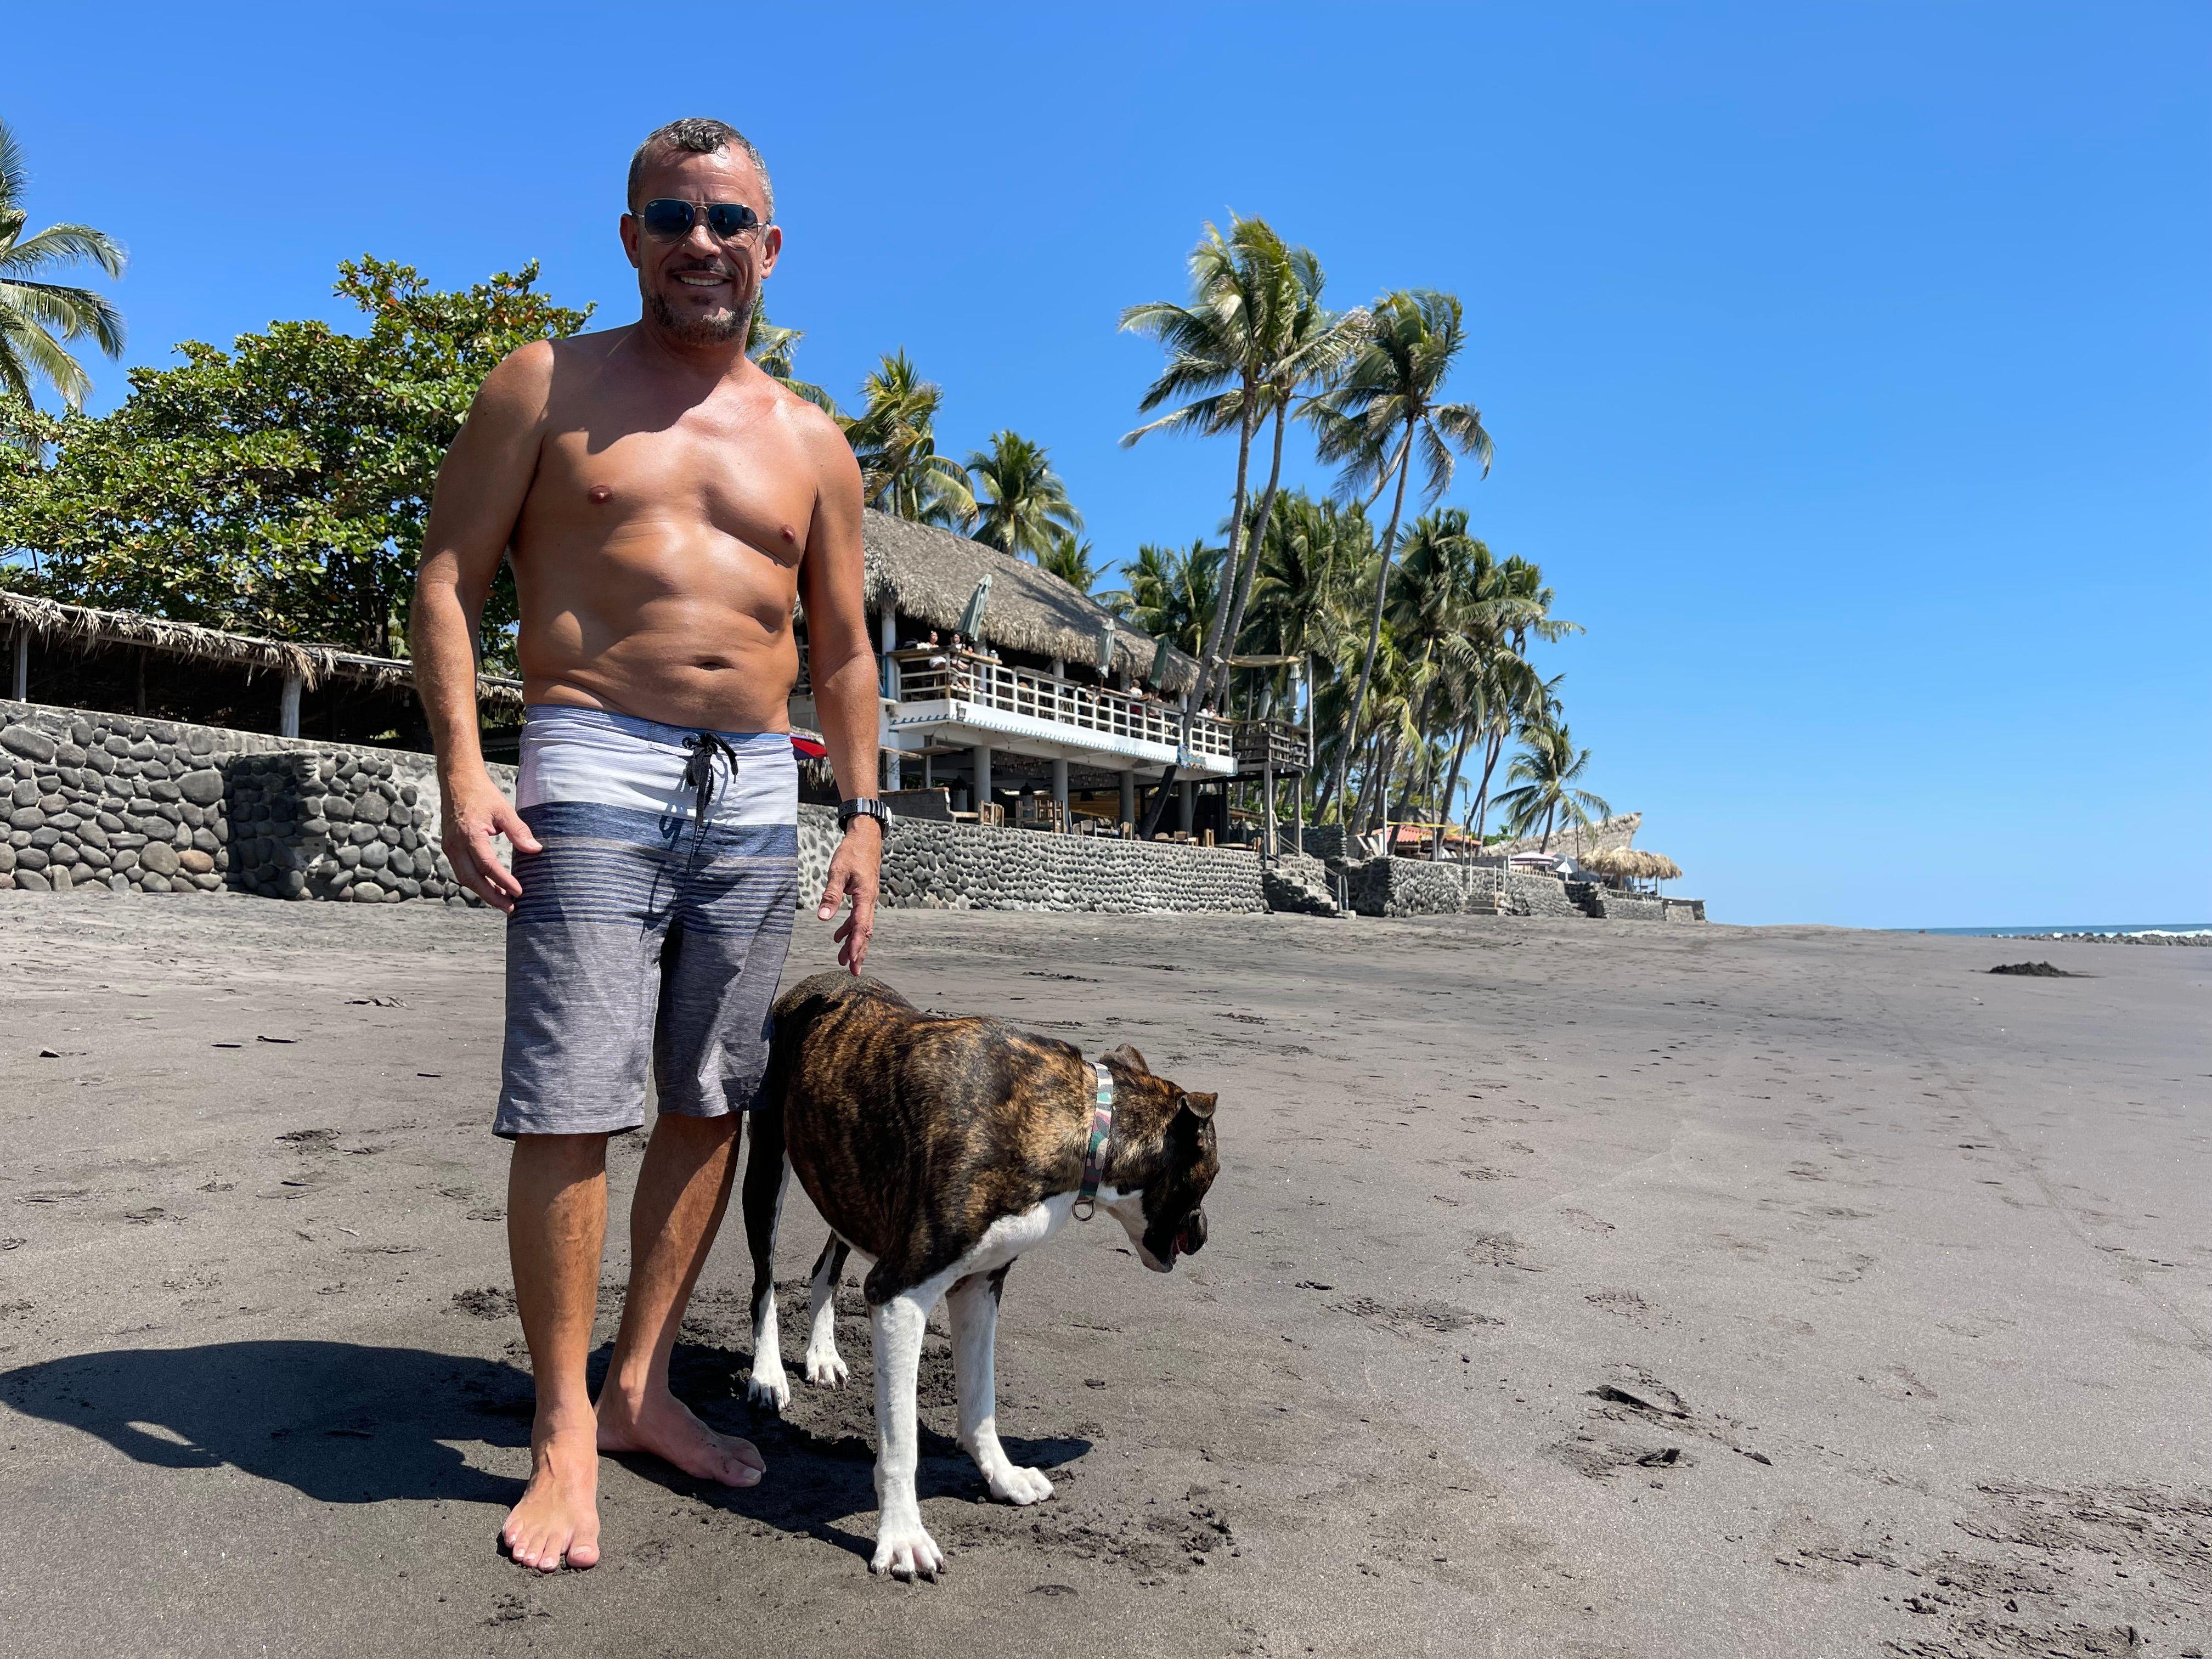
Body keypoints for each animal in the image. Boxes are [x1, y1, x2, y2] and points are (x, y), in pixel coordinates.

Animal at [743, 973, 1229, 1583]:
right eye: (1212, 1174)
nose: (1206, 1233)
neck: (1086, 1127)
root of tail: (815, 984)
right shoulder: (900, 1293)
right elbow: (900, 1444)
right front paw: (902, 1536)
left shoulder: (980, 1287)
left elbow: (981, 1401)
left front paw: (1002, 1477)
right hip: (768, 1167)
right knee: (763, 1283)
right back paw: (767, 1375)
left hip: (844, 1184)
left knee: (824, 1267)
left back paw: (822, 1355)